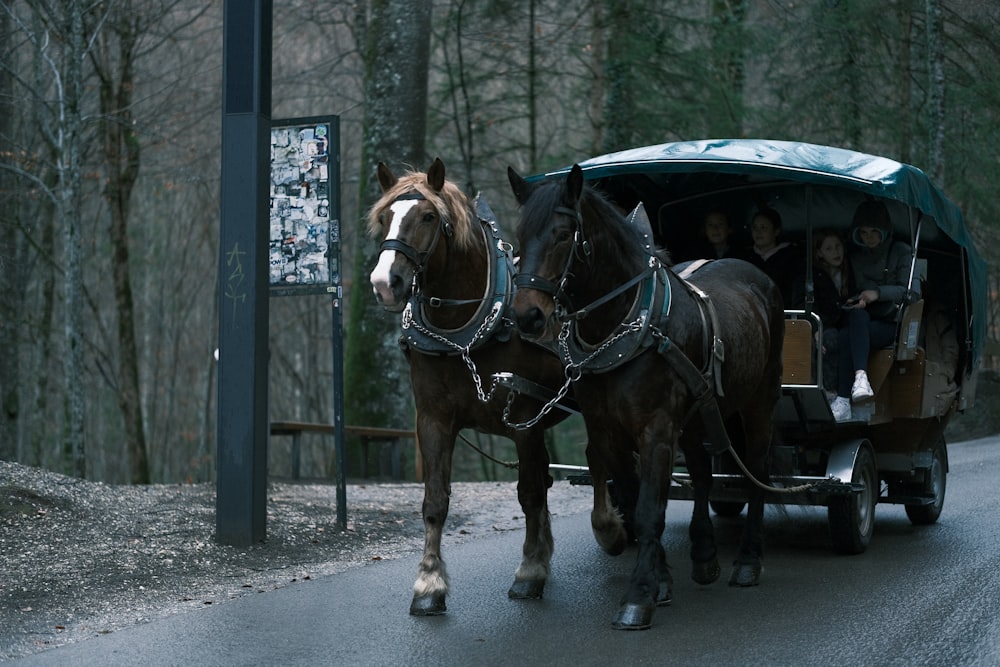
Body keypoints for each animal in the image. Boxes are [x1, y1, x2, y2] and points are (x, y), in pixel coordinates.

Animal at [368, 159, 572, 620]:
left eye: (428, 217)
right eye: (385, 217)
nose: (385, 282)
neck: (464, 333)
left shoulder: (524, 417)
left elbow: (528, 493)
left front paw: (529, 571)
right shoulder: (433, 419)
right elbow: (435, 501)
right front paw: (429, 583)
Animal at [512, 164, 784, 628]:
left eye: (564, 234)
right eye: (517, 234)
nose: (526, 315)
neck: (627, 325)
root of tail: (757, 276)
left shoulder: (656, 429)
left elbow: (649, 509)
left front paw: (639, 596)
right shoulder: (608, 429)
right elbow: (633, 495)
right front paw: (657, 578)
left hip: (759, 402)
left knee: (757, 471)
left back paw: (748, 560)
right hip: (697, 416)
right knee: (702, 475)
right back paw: (704, 555)